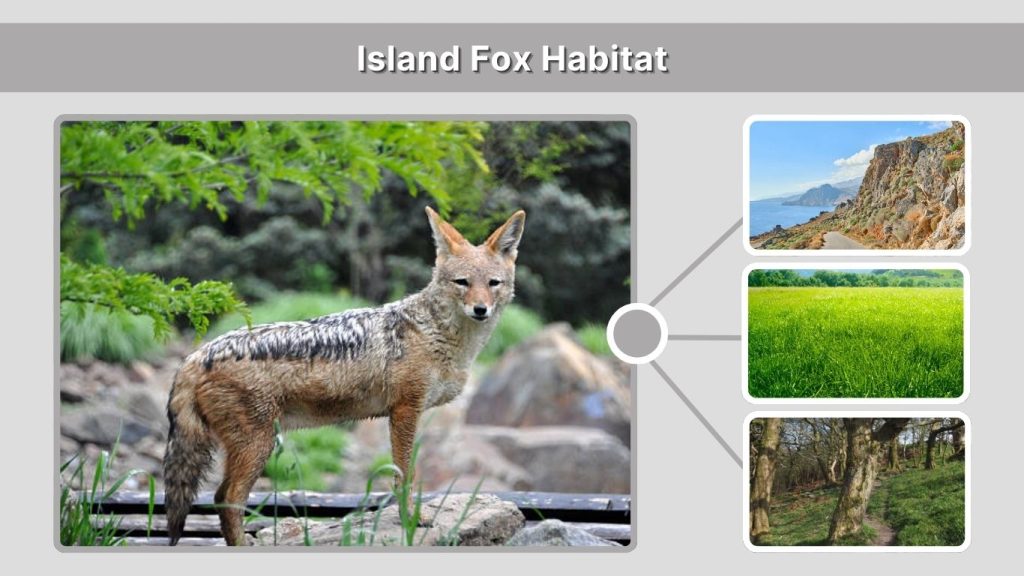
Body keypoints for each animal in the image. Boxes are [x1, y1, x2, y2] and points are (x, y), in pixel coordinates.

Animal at [162, 206, 526, 546]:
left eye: (492, 284)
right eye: (462, 282)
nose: (481, 309)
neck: (437, 335)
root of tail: (195, 356)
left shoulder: (408, 412)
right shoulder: (405, 411)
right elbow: (404, 474)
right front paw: (411, 519)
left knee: (221, 498)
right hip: (258, 446)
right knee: (227, 499)